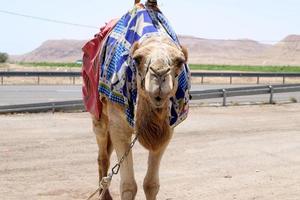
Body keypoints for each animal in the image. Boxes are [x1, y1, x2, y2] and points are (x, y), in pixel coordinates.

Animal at [83, 0, 191, 199]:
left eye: (180, 61)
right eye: (138, 59)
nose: (159, 73)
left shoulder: (167, 130)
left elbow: (151, 184)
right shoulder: (119, 126)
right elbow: (128, 186)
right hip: (98, 116)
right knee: (102, 156)